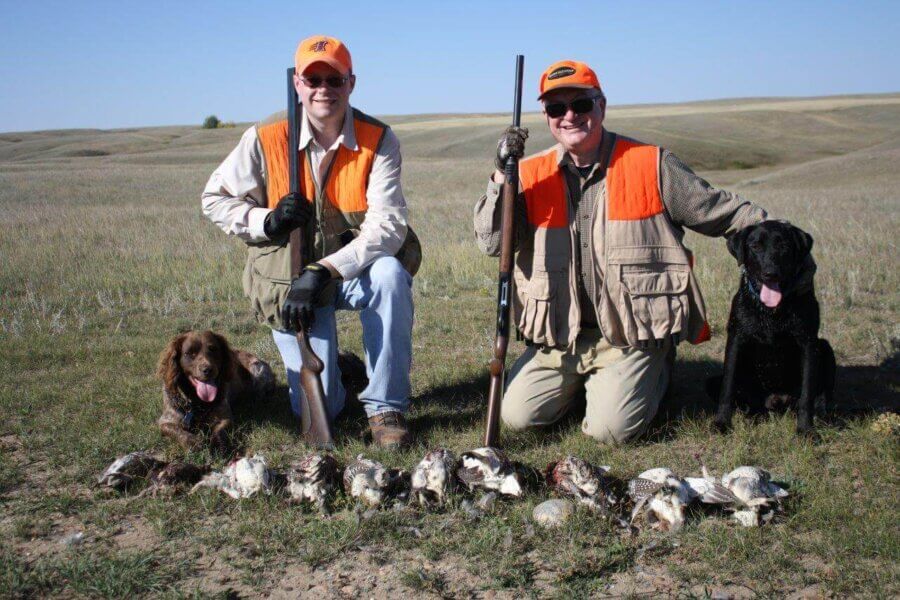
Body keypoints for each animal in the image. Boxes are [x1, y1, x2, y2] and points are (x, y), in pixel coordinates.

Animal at [711, 221, 835, 436]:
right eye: (755, 246)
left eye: (784, 246)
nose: (770, 273)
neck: (771, 311)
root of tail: (775, 401)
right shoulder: (736, 341)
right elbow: (727, 387)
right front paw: (722, 422)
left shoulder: (808, 344)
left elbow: (807, 394)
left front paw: (805, 429)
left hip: (825, 348)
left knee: (820, 396)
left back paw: (823, 416)